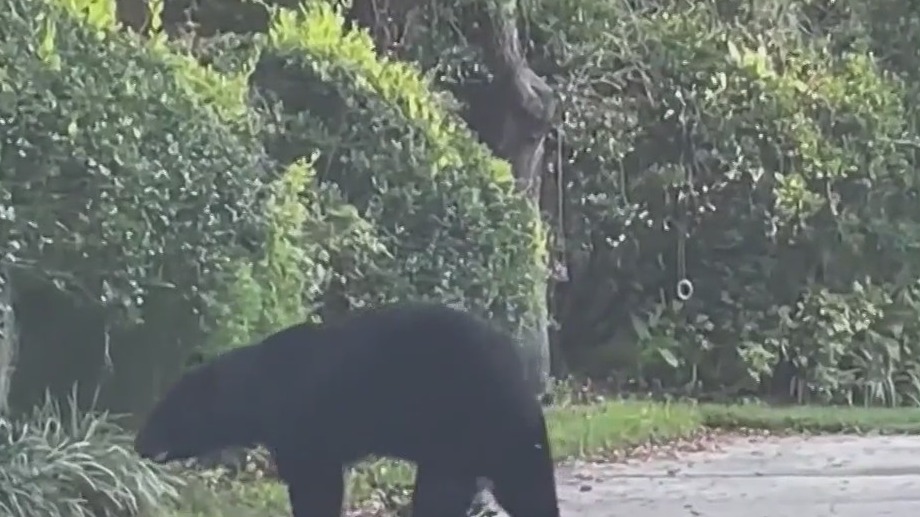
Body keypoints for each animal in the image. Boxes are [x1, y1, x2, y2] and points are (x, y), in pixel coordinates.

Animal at [134, 301, 561, 517]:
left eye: (163, 411)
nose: (139, 443)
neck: (260, 388)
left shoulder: (300, 423)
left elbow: (315, 484)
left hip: (474, 416)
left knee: (511, 481)